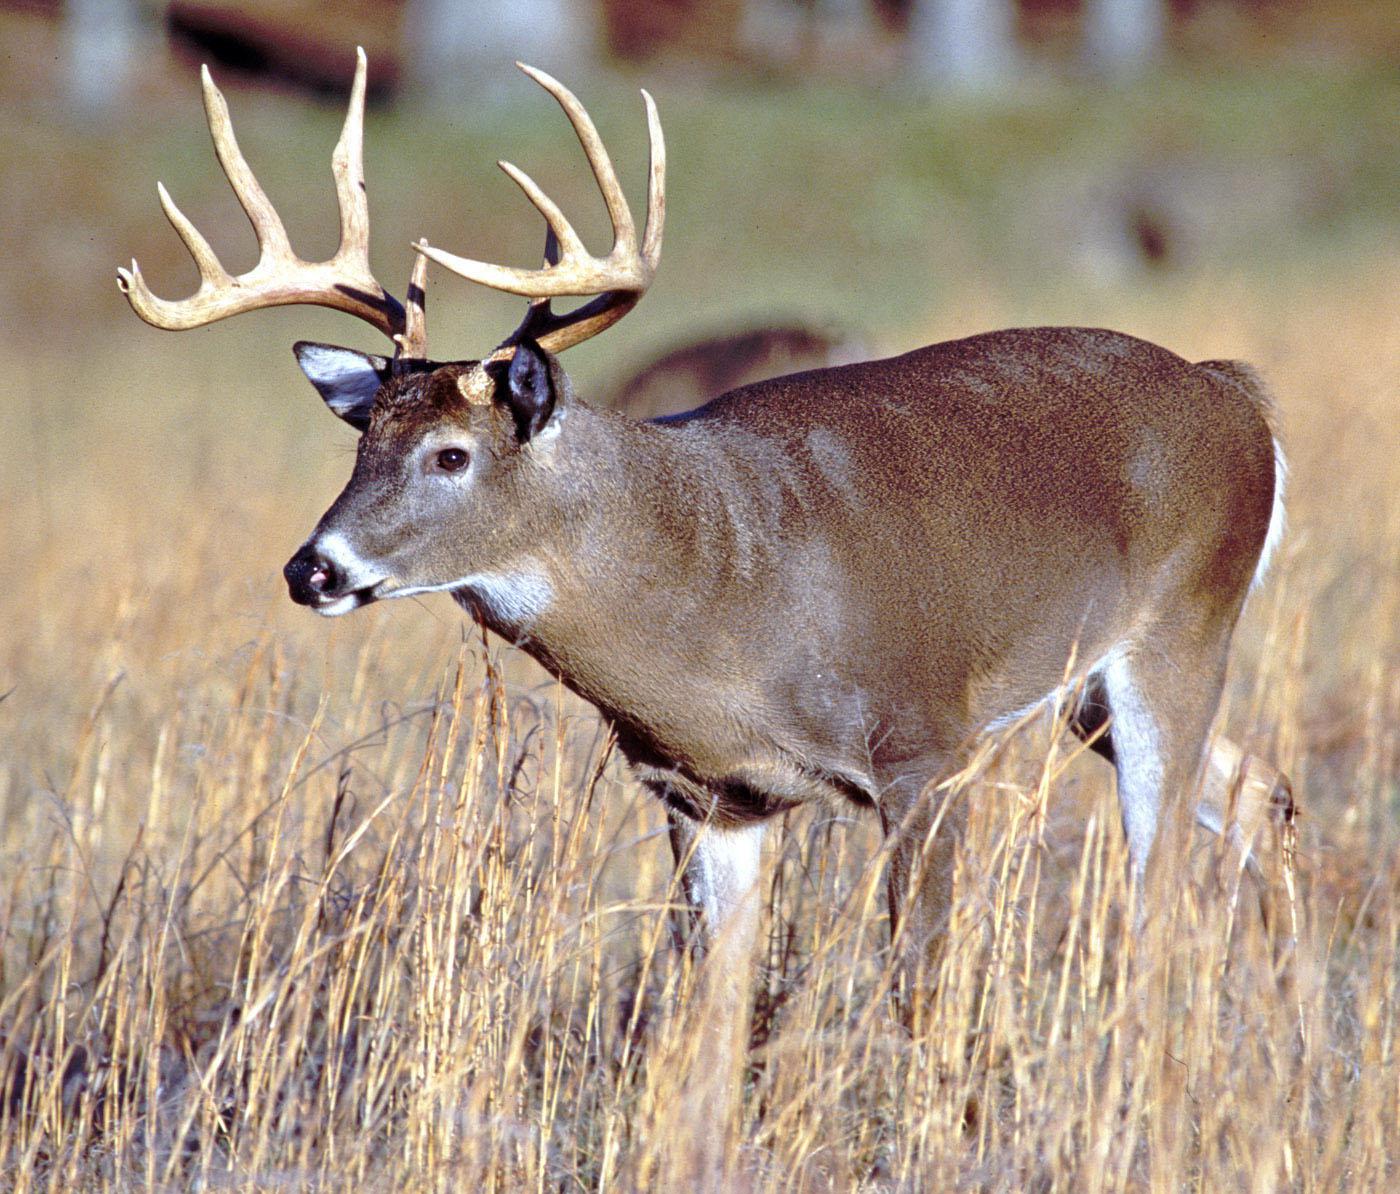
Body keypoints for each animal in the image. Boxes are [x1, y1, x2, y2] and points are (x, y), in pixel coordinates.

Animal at [120, 55, 1288, 1041]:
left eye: (452, 454)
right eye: (362, 441)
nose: (311, 568)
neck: (717, 593)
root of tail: (1237, 394)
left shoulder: (922, 745)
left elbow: (920, 985)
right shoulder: (704, 794)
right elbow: (713, 1020)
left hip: (1182, 622)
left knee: (1158, 877)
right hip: (1087, 688)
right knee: (1256, 791)